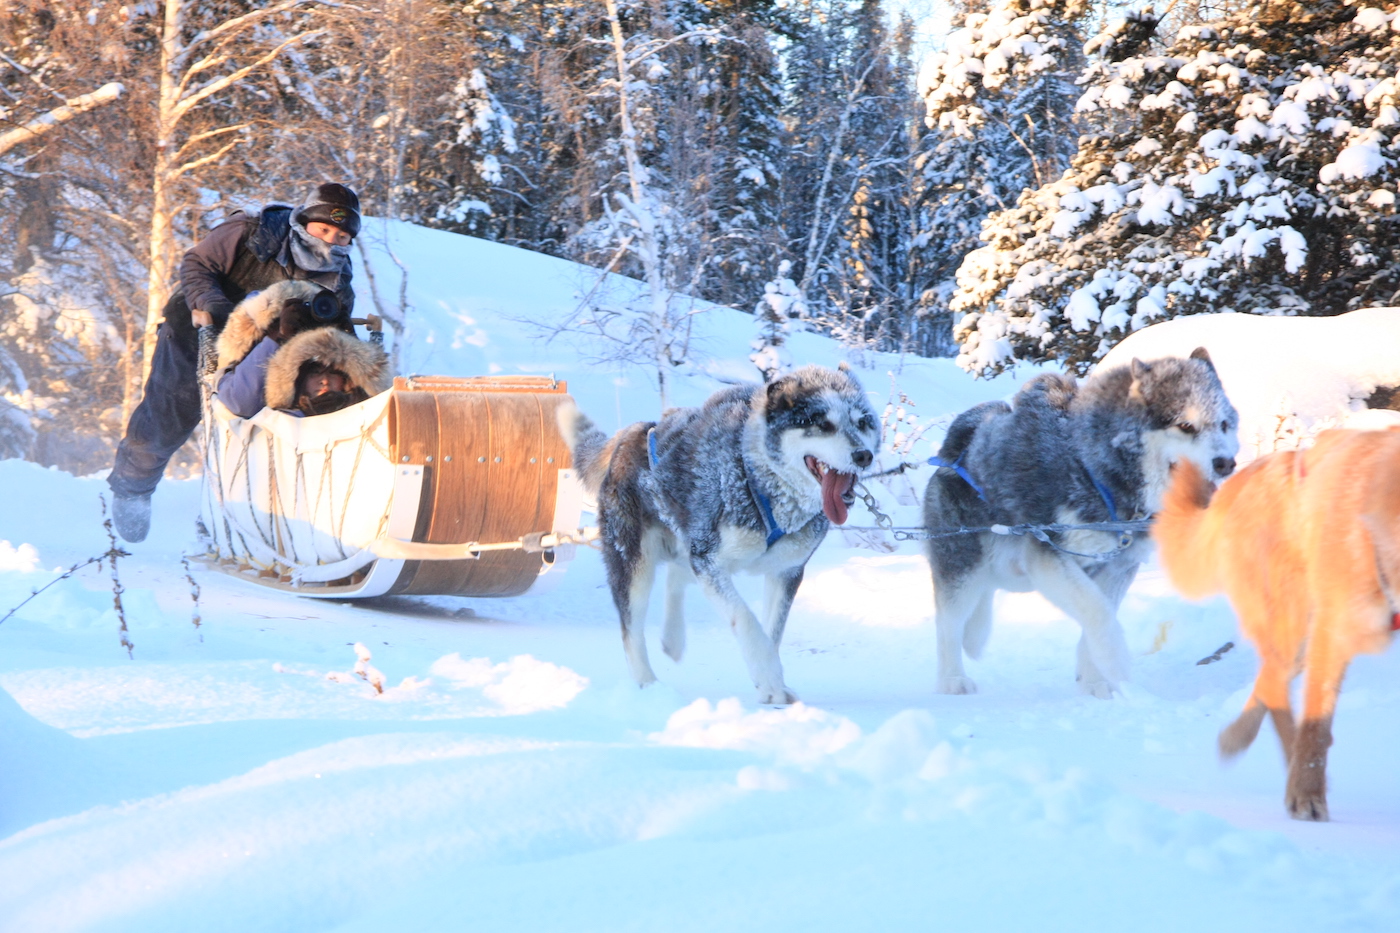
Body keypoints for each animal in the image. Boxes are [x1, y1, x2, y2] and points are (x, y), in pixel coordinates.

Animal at [1153, 425, 1394, 818]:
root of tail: (1249, 475)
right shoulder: (1333, 633)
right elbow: (1315, 728)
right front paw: (1307, 795)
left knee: (1268, 679)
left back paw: (1239, 739)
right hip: (1296, 626)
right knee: (1274, 682)